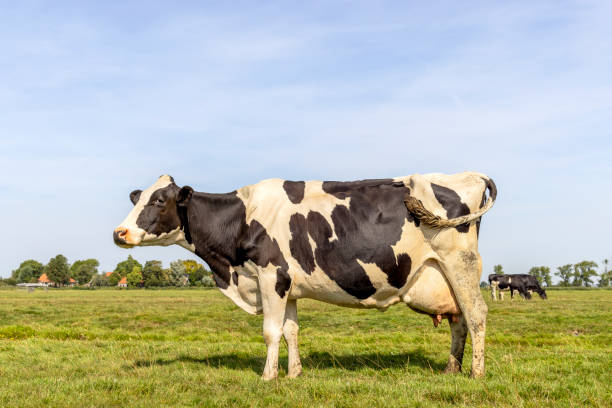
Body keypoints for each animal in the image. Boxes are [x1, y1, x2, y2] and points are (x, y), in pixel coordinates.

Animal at [115, 171, 498, 380]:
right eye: (138, 199)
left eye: (159, 201)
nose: (120, 233)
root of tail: (468, 175)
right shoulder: (288, 286)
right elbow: (291, 331)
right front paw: (294, 372)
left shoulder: (270, 277)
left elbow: (270, 332)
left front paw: (268, 376)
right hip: (445, 274)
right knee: (459, 321)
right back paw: (451, 369)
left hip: (460, 263)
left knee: (476, 315)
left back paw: (477, 373)